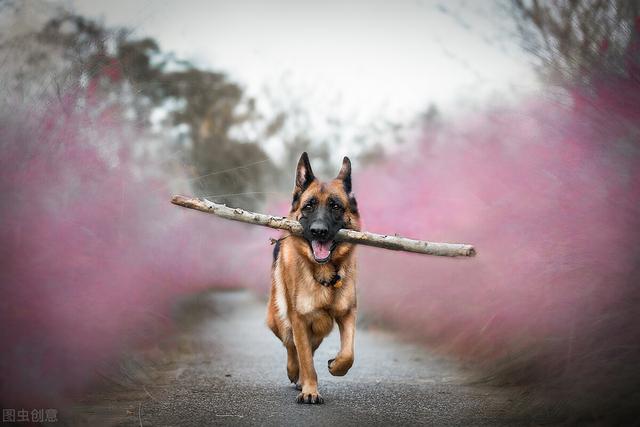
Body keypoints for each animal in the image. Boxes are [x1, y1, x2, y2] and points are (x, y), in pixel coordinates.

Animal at [266, 153, 360, 404]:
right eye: (309, 206)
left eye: (335, 206)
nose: (319, 231)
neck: (323, 273)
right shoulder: (298, 319)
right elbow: (305, 358)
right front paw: (310, 391)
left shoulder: (347, 313)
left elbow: (348, 354)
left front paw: (336, 366)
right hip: (278, 320)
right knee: (291, 345)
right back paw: (294, 372)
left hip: (321, 328)